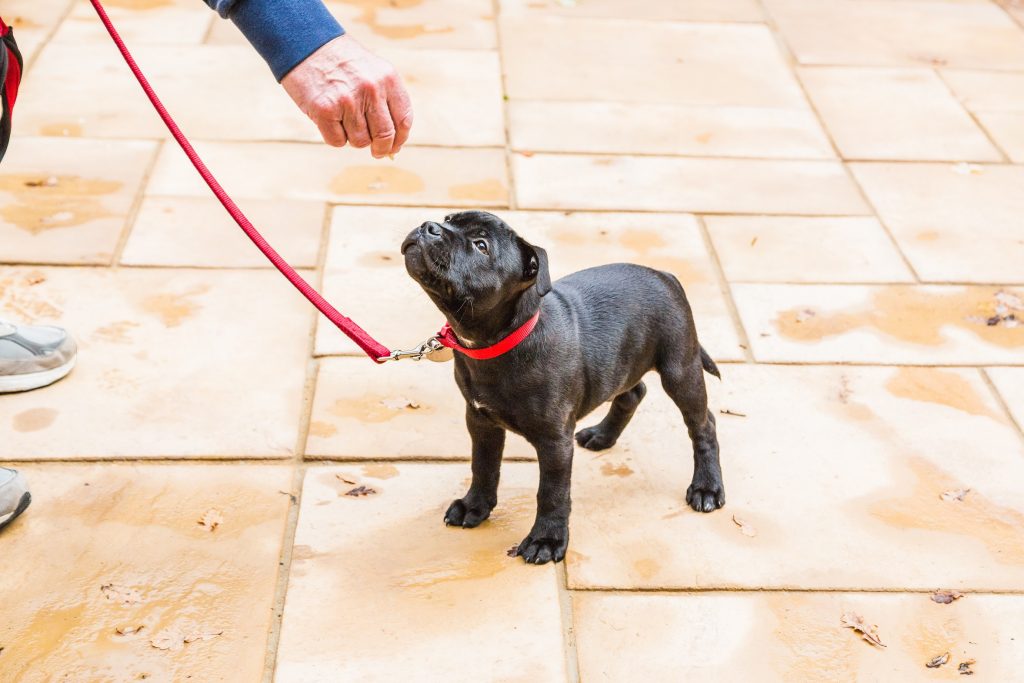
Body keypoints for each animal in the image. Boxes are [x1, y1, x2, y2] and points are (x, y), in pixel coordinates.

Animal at [397, 211, 720, 565]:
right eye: (448, 218)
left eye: (481, 245)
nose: (429, 226)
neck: (495, 343)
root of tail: (665, 275)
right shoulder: (480, 420)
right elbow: (483, 466)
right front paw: (475, 506)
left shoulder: (554, 441)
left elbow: (552, 492)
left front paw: (546, 540)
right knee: (633, 393)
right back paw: (602, 436)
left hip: (681, 370)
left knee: (703, 424)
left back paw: (707, 488)